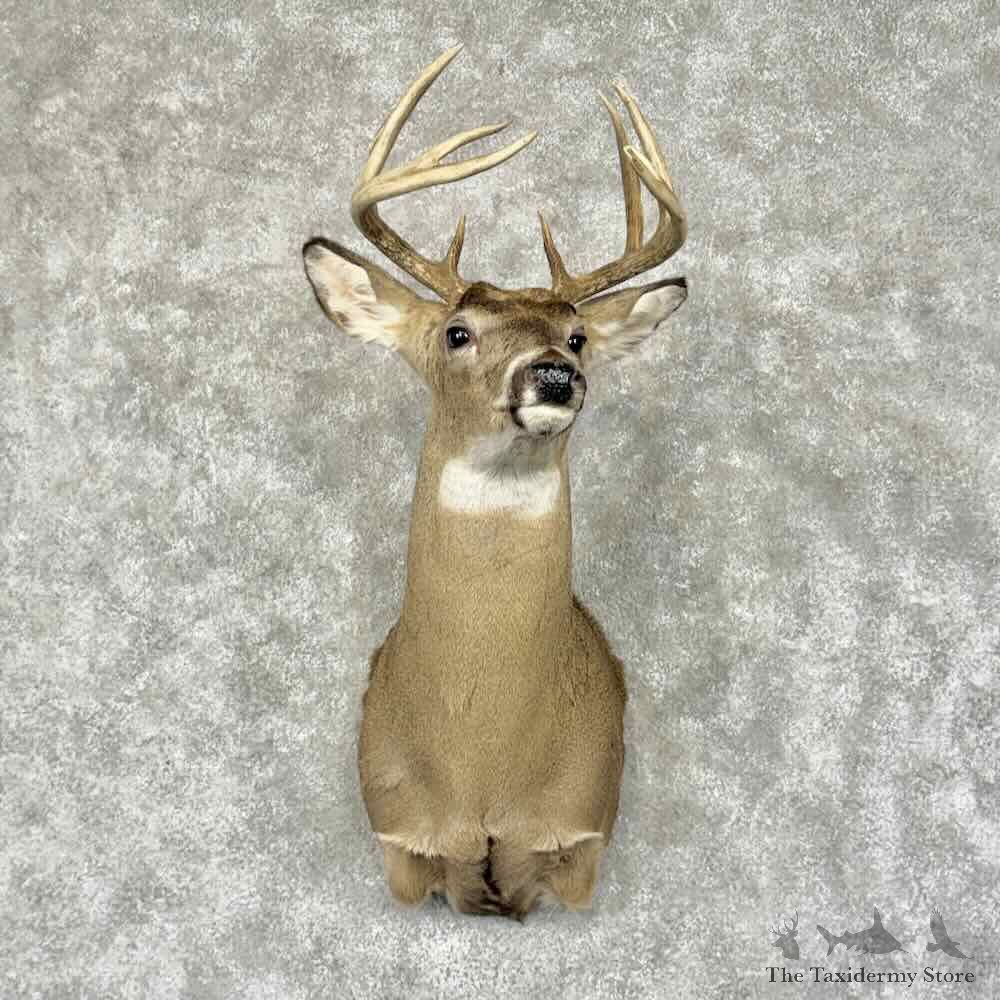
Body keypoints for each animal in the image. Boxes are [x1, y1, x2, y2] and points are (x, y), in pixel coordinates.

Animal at [302, 44, 688, 921]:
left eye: (578, 335)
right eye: (457, 332)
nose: (554, 375)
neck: (482, 767)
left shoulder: (583, 830)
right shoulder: (398, 835)